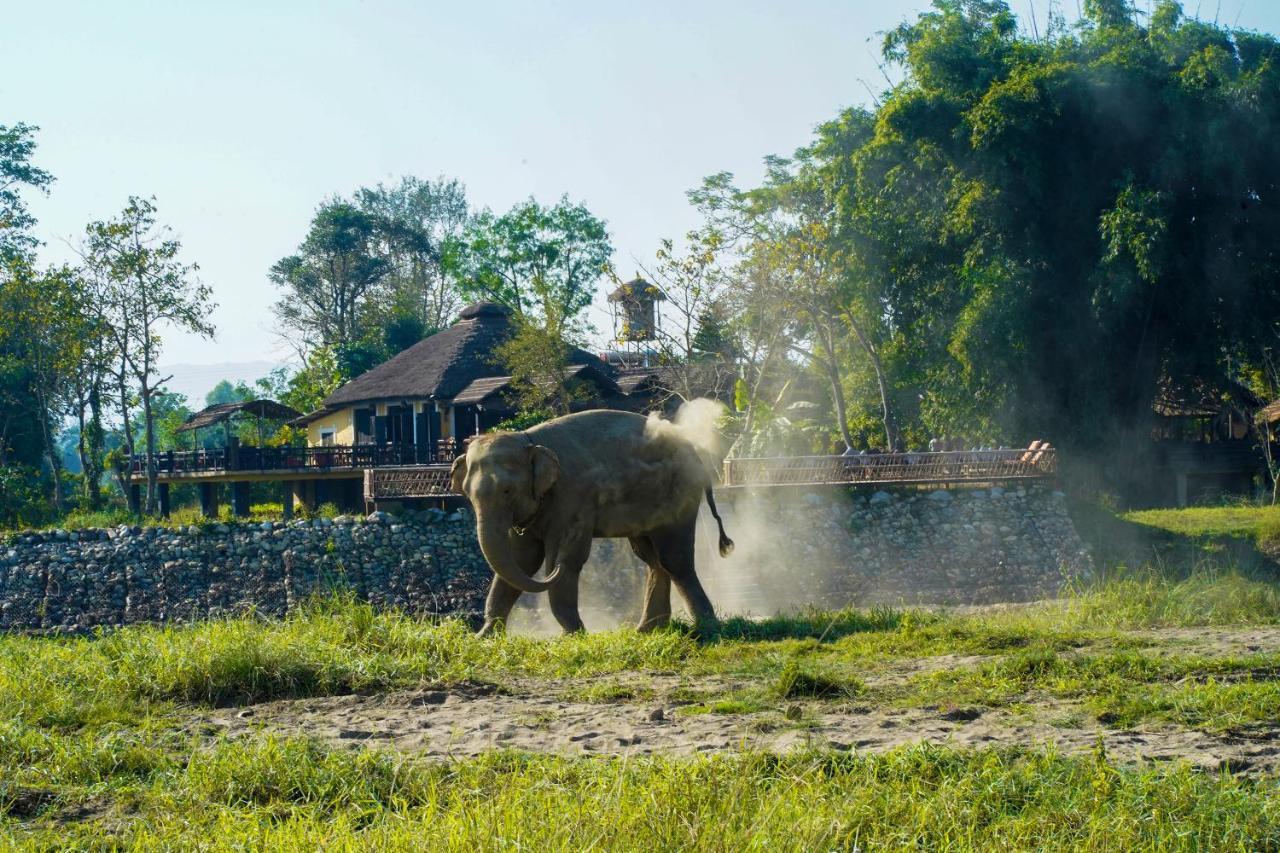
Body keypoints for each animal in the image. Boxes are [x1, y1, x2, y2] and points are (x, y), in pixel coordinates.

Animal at [450, 409, 732, 635]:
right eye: (467, 494)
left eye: (507, 490)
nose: (483, 632)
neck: (529, 440)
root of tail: (698, 455)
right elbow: (522, 561)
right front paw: (484, 637)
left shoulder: (572, 497)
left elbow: (568, 558)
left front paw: (572, 636)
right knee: (652, 559)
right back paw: (647, 629)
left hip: (679, 496)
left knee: (674, 559)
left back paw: (706, 627)